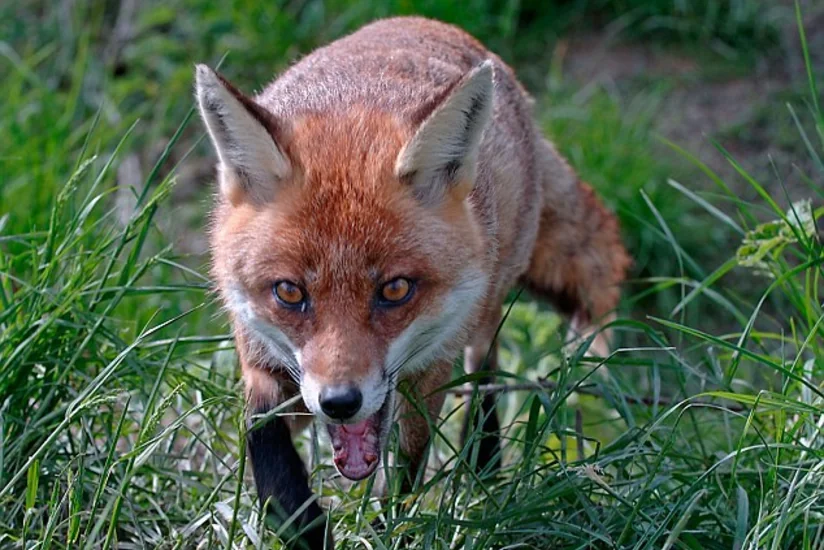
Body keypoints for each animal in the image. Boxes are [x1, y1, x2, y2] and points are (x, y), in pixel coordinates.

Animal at [195, 15, 630, 549]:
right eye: (290, 292)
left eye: (395, 290)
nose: (340, 403)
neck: (353, 107)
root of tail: (427, 22)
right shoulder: (257, 349)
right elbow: (268, 453)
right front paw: (306, 525)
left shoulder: (428, 373)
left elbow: (403, 479)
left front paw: (385, 532)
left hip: (483, 307)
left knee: (485, 369)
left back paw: (486, 464)